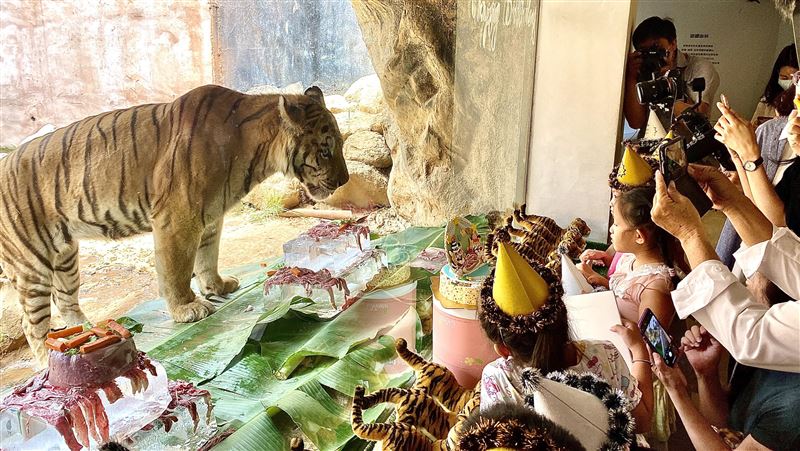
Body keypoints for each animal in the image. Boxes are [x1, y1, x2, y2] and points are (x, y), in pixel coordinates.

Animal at [0, 84, 349, 364]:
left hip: (65, 257)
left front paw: (217, 286)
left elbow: (208, 258)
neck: (254, 151)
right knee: (32, 324)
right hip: (31, 261)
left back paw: (88, 331)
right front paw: (187, 309)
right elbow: (177, 269)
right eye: (325, 150)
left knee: (65, 300)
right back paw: (47, 360)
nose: (345, 180)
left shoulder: (211, 216)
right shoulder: (177, 218)